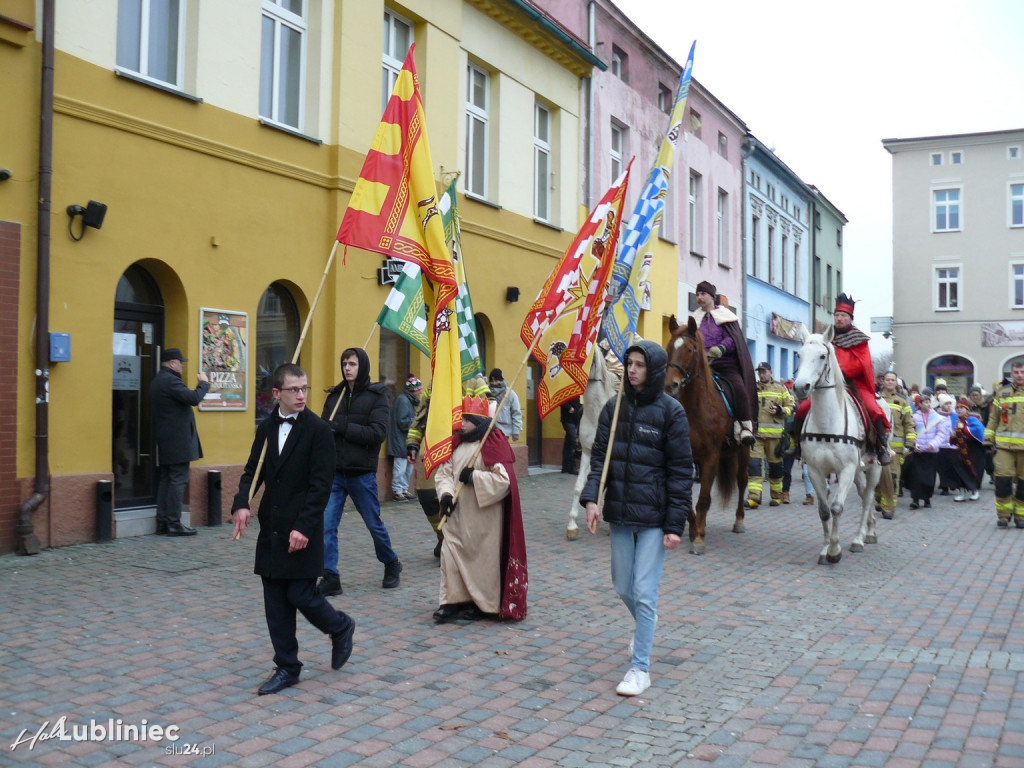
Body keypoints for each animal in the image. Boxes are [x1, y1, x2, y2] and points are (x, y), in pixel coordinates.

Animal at [667, 315, 749, 557]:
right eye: (669, 347)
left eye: (689, 349)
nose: (670, 384)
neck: (698, 407)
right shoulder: (686, 457)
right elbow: (686, 497)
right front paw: (694, 529)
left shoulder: (711, 457)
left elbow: (703, 498)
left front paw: (699, 538)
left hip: (744, 451)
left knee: (742, 481)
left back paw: (739, 521)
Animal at [790, 331, 888, 565]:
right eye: (799, 354)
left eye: (822, 356)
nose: (800, 387)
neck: (827, 421)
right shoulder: (815, 470)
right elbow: (825, 510)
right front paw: (826, 550)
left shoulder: (846, 470)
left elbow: (837, 507)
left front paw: (835, 551)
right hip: (859, 471)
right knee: (864, 495)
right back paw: (870, 530)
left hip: (874, 468)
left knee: (868, 498)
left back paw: (860, 539)